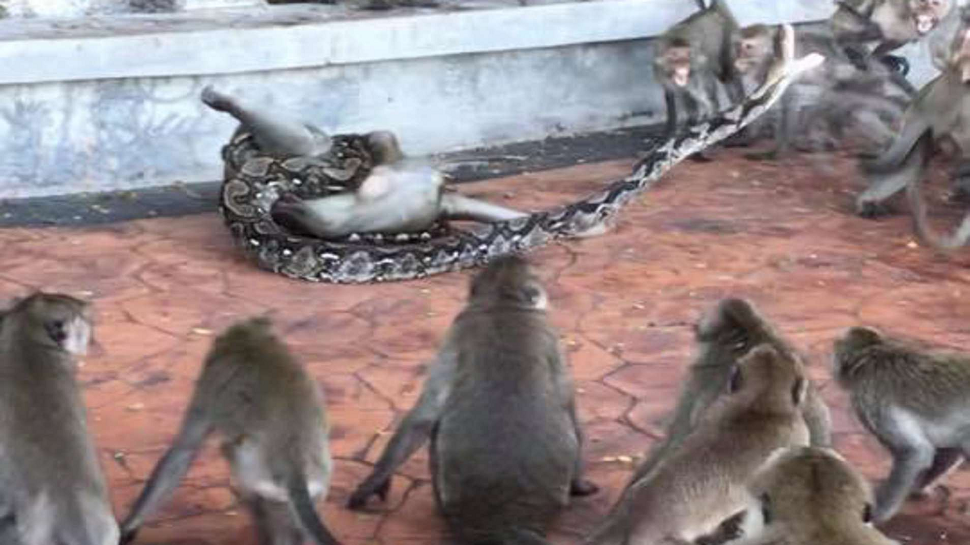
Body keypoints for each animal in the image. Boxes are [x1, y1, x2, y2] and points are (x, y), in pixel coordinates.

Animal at [118, 317, 342, 545]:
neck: (251, 341)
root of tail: (294, 463)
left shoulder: (210, 380)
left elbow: (184, 450)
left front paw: (130, 525)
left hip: (257, 472)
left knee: (233, 456)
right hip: (313, 485)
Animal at [653, 0, 746, 160]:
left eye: (686, 57)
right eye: (675, 57)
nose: (682, 66)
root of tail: (714, 9)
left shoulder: (699, 71)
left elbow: (710, 103)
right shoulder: (662, 74)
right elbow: (676, 96)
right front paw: (673, 135)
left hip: (729, 37)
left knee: (727, 75)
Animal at [832, 326, 970, 523]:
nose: (834, 367)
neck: (874, 358)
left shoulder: (869, 398)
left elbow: (913, 451)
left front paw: (876, 514)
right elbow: (949, 449)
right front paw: (919, 488)